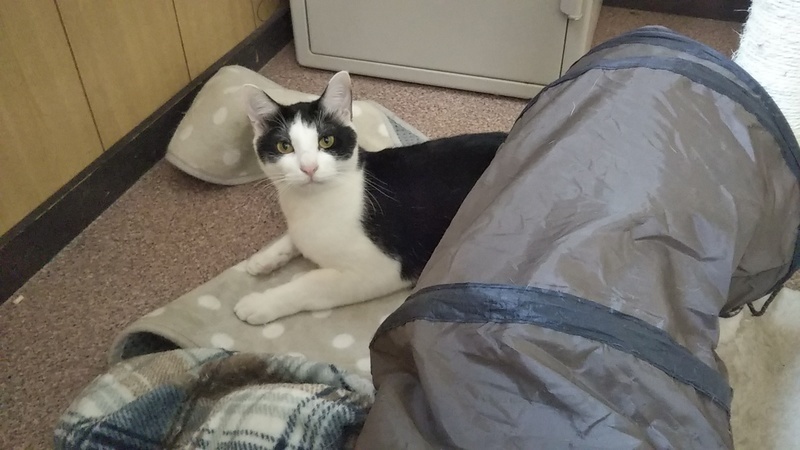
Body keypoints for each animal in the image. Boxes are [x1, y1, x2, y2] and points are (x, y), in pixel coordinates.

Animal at [234, 71, 507, 325]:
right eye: (284, 146)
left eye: (326, 140)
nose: (309, 168)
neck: (313, 202)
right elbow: (293, 238)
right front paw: (264, 258)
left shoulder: (381, 270)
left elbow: (310, 283)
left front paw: (261, 302)